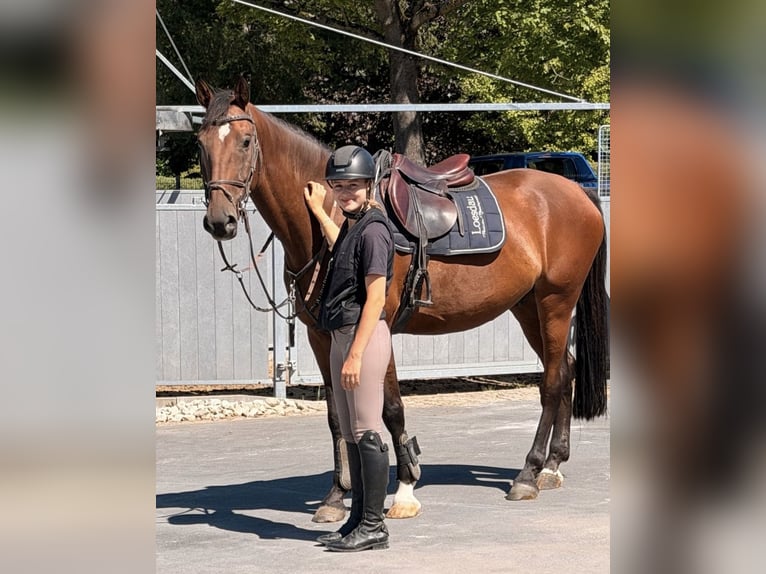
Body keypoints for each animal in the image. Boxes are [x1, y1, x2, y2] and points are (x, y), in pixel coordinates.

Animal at [194, 77, 608, 522]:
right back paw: (553, 465)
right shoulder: (322, 336)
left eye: (245, 141)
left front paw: (406, 488)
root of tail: (576, 192)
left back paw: (529, 474)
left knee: (552, 381)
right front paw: (336, 496)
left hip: (555, 302)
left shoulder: (377, 326)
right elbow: (337, 415)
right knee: (564, 369)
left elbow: (391, 407)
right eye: (201, 143)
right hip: (528, 307)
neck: (337, 222)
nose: (220, 221)